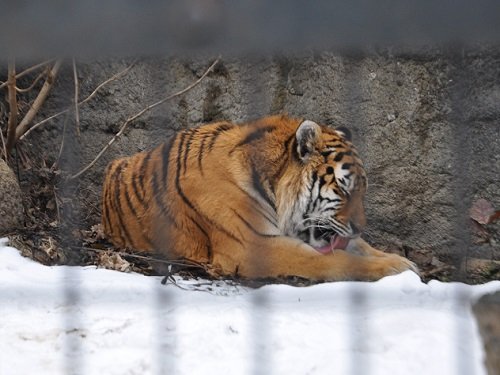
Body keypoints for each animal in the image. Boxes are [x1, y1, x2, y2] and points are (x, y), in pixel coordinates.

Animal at [101, 114, 418, 282]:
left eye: (362, 189)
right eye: (343, 189)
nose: (359, 227)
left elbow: (359, 247)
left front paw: (402, 260)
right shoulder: (255, 245)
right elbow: (336, 260)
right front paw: (396, 268)